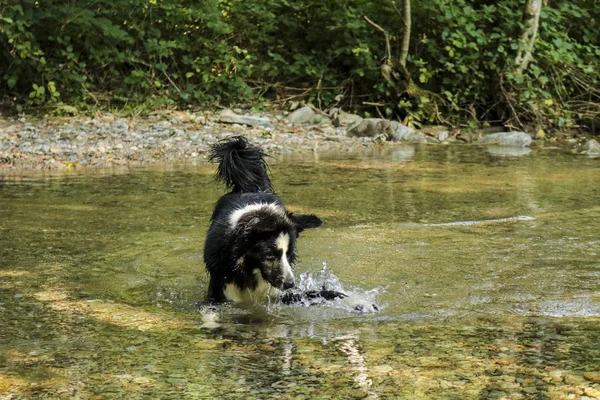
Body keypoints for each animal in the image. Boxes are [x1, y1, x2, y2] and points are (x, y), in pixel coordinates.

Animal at [204, 134, 378, 310]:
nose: (290, 284)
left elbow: (320, 294)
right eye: (269, 255)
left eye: (289, 255)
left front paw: (359, 301)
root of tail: (249, 188)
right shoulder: (220, 285)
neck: (248, 270)